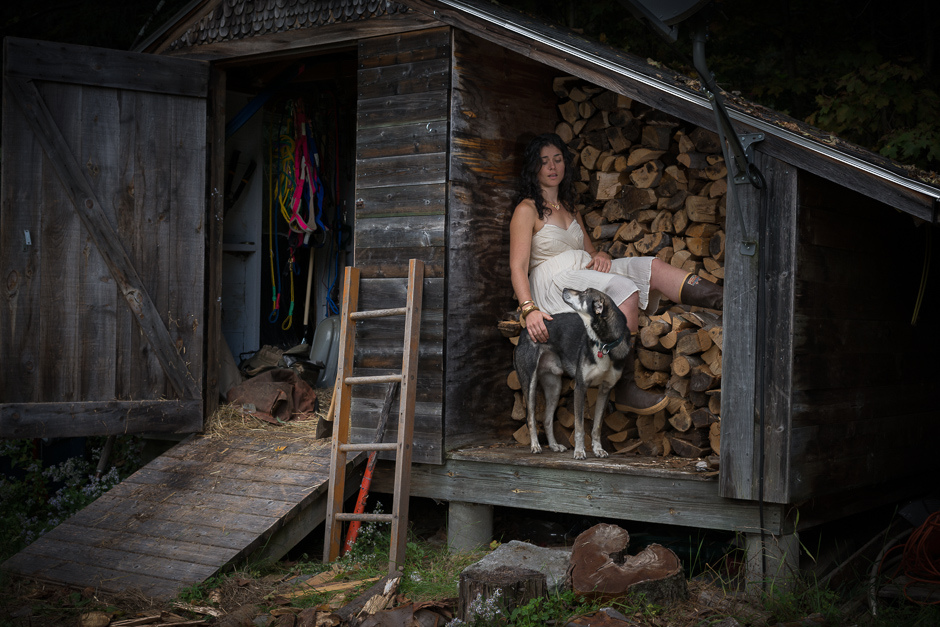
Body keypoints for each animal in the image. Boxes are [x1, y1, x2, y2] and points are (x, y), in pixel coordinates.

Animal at [516, 290, 632, 462]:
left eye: (584, 293)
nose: (564, 289)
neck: (604, 344)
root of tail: (525, 330)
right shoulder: (580, 387)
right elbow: (579, 427)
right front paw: (579, 451)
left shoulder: (605, 390)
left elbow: (597, 426)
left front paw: (598, 449)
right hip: (529, 383)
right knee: (530, 418)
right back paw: (535, 446)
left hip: (554, 387)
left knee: (547, 419)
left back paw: (554, 446)